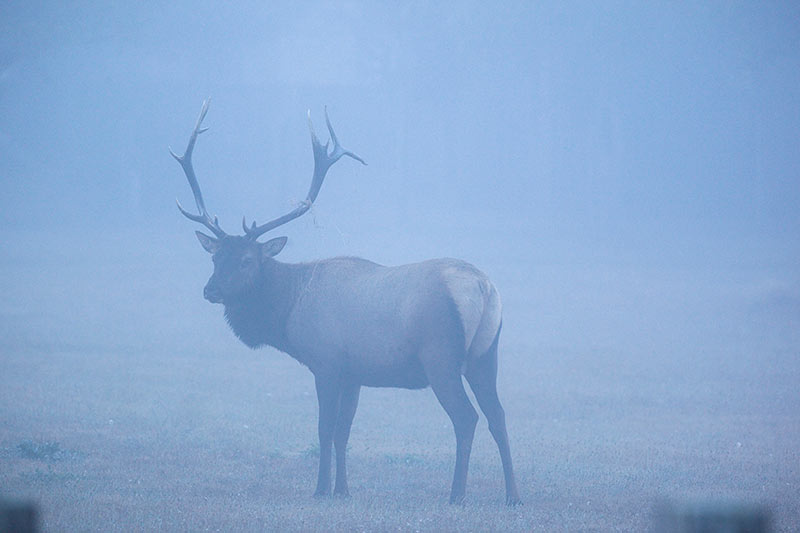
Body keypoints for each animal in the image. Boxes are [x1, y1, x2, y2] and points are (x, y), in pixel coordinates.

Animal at [170, 98, 520, 502]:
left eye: (246, 259)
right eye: (215, 258)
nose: (210, 290)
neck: (288, 311)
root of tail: (483, 287)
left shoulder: (326, 363)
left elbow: (324, 429)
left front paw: (321, 489)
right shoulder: (355, 373)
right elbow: (343, 432)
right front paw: (343, 489)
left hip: (441, 356)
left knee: (467, 418)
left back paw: (456, 495)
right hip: (486, 354)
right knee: (499, 416)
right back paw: (513, 495)